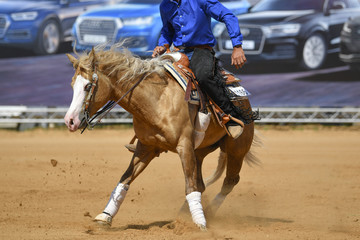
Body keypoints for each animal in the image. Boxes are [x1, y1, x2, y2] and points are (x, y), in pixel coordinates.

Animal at [63, 46, 258, 230]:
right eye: (72, 85)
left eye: (88, 86)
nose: (69, 121)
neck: (158, 99)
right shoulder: (146, 147)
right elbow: (125, 179)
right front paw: (105, 216)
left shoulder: (184, 146)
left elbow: (189, 185)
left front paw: (201, 223)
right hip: (200, 152)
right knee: (202, 184)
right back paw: (185, 214)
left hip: (237, 149)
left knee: (229, 182)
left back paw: (208, 211)